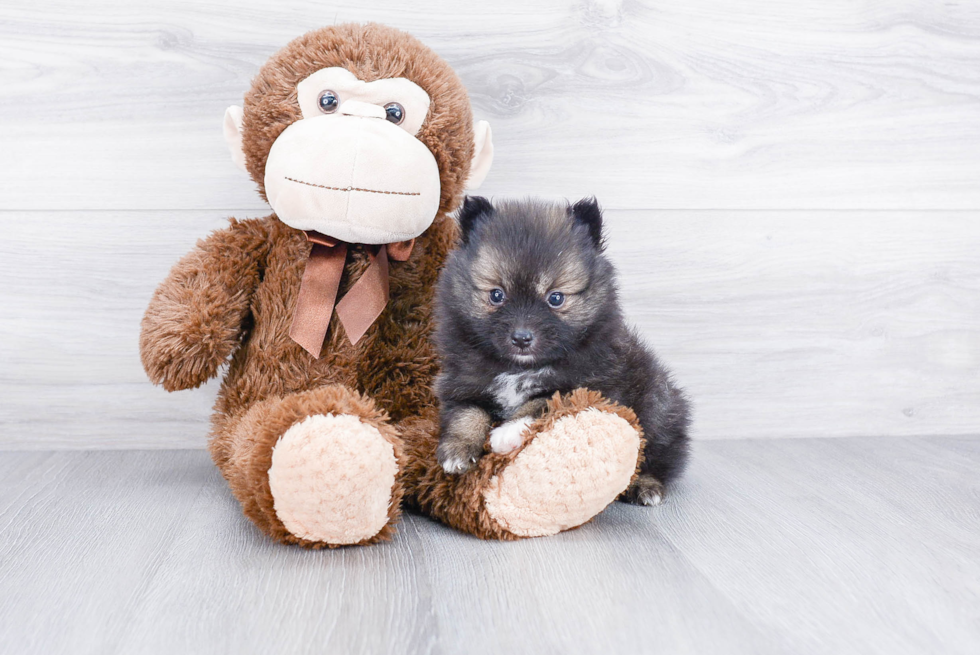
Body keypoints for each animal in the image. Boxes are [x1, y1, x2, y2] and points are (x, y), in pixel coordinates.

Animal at [432, 197, 692, 504]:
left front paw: (508, 432)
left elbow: (545, 400)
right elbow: (467, 414)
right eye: (497, 295)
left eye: (555, 298)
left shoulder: (592, 385)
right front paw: (457, 450)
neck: (518, 368)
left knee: (657, 454)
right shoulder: (463, 385)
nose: (522, 337)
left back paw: (646, 485)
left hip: (659, 408)